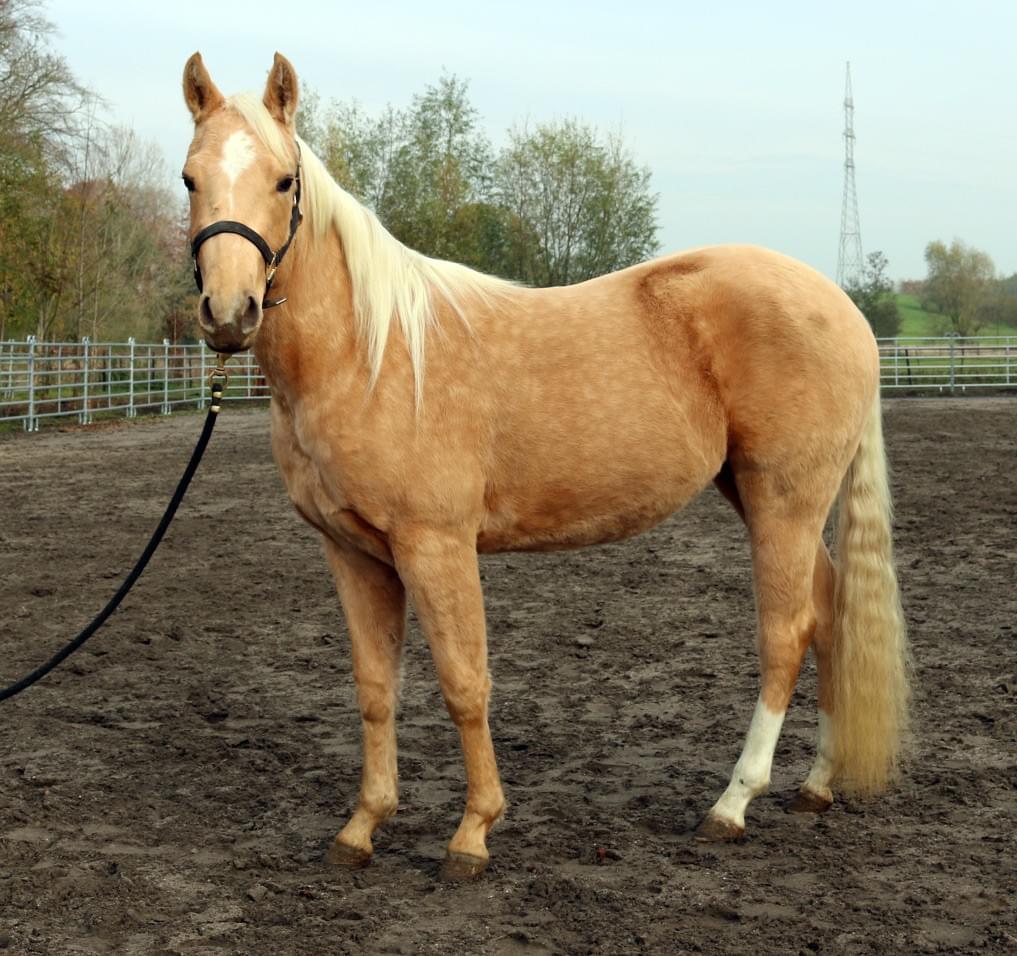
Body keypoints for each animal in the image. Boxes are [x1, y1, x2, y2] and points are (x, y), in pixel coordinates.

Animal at [181, 52, 910, 879]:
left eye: (282, 181)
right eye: (189, 178)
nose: (228, 313)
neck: (369, 351)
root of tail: (844, 309)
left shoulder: (435, 545)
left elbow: (464, 683)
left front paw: (472, 833)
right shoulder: (353, 552)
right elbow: (374, 687)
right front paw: (362, 827)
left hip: (782, 500)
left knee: (786, 632)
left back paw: (731, 804)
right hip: (771, 500)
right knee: (828, 613)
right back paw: (815, 785)